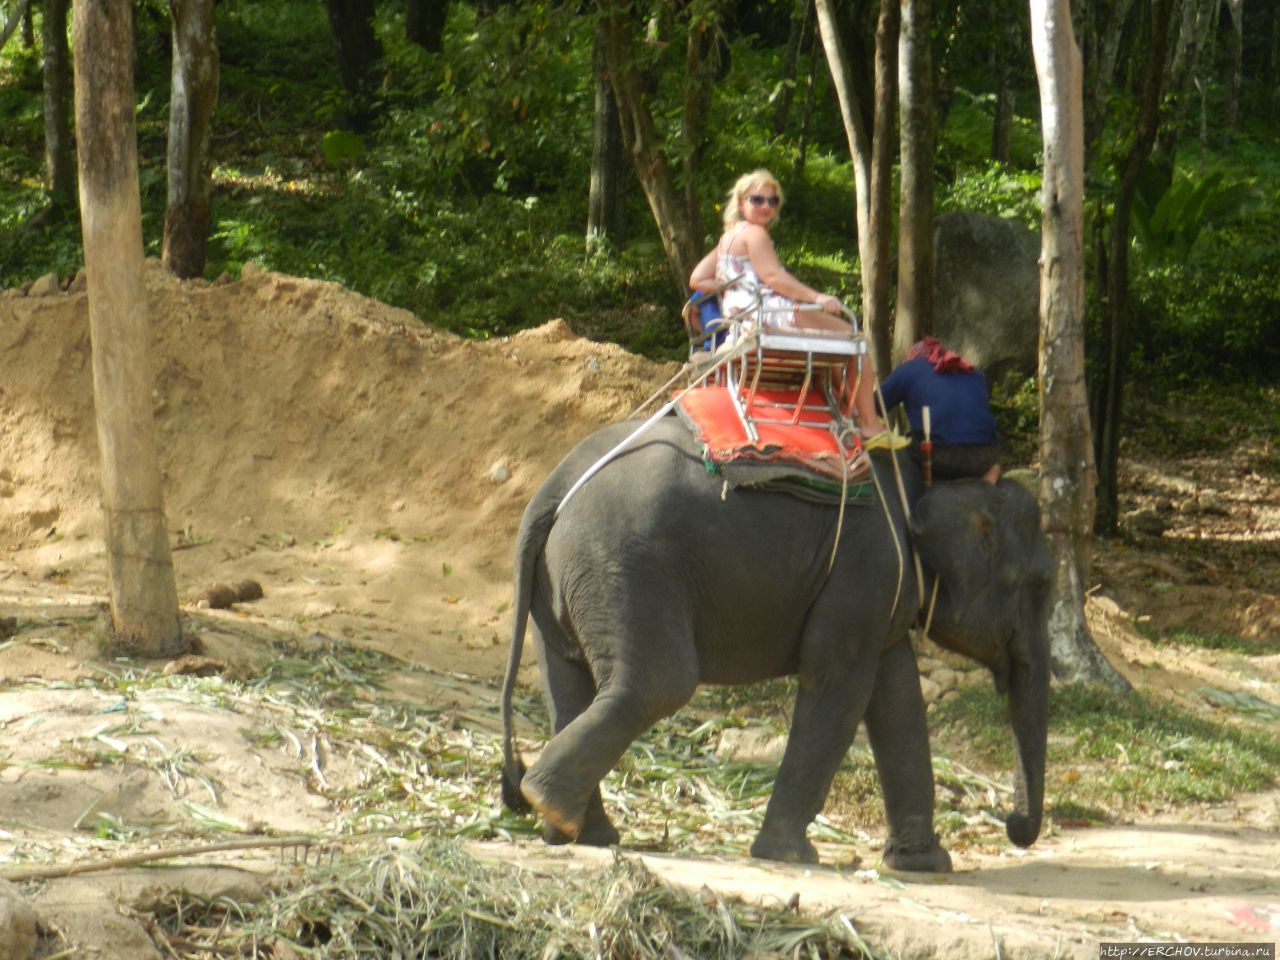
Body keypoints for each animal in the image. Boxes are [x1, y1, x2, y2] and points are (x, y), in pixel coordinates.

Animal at [499, 414, 1049, 870]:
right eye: (1036, 584)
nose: (1013, 826)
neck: (923, 472)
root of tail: (554, 486)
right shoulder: (867, 567)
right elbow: (839, 680)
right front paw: (789, 854)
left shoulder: (882, 587)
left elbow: (897, 696)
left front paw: (925, 865)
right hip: (625, 565)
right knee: (659, 683)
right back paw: (553, 806)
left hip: (565, 582)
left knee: (567, 686)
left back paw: (577, 831)